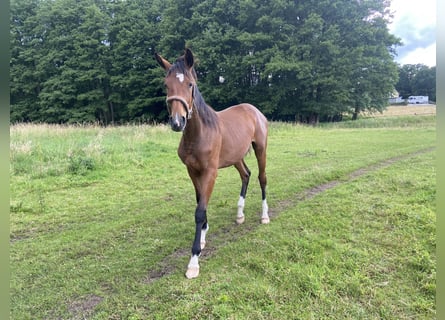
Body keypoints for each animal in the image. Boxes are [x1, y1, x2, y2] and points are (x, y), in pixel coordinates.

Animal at [154, 48, 268, 278]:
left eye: (190, 84)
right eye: (166, 84)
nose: (177, 122)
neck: (200, 133)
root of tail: (254, 111)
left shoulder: (210, 172)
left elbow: (199, 211)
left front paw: (193, 261)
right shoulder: (192, 171)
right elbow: (201, 203)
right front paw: (203, 238)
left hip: (260, 150)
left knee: (262, 178)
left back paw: (264, 216)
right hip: (236, 157)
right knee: (246, 175)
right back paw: (240, 215)